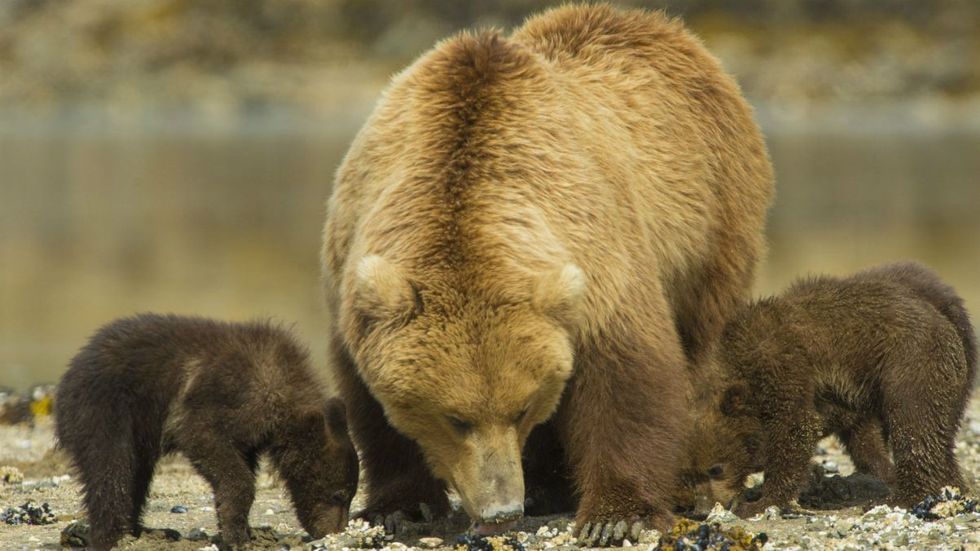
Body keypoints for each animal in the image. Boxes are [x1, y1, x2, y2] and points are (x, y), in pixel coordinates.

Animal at [322, 2, 772, 544]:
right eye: (455, 418)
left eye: (521, 408)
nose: (501, 509)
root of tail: (659, 26)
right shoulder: (354, 253)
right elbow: (371, 406)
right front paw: (401, 506)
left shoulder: (598, 255)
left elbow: (628, 376)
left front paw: (615, 514)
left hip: (710, 219)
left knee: (703, 341)